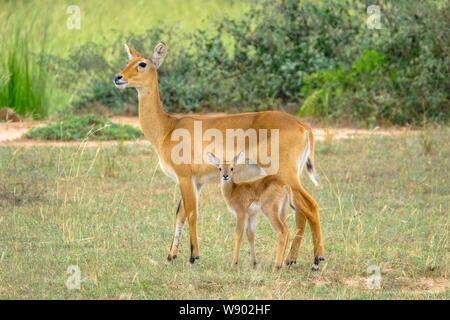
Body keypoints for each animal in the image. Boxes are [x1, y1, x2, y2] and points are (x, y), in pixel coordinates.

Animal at [112, 42, 324, 268]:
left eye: (142, 63)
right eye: (129, 60)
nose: (118, 77)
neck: (167, 128)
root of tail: (302, 125)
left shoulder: (185, 177)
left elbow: (192, 213)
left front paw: (194, 256)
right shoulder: (195, 181)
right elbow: (180, 214)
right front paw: (171, 256)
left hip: (286, 175)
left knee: (310, 206)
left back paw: (317, 260)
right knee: (300, 212)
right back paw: (292, 260)